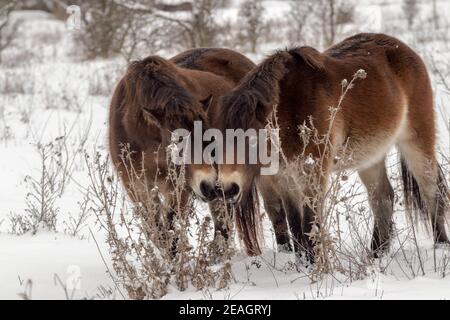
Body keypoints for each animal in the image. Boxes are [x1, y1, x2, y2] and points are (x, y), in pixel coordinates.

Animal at [109, 47, 255, 252]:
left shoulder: (179, 189)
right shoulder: (137, 188)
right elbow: (157, 231)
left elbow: (172, 228)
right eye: (178, 139)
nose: (209, 186)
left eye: (210, 138)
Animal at [212, 33, 450, 262]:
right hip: (370, 158)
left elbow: (310, 223)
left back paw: (440, 247)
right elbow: (296, 225)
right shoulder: (285, 178)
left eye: (250, 140)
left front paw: (316, 266)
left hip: (417, 143)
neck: (290, 107)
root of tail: (405, 50)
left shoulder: (313, 172)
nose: (227, 189)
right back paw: (376, 255)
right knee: (383, 198)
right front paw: (303, 263)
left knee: (431, 193)